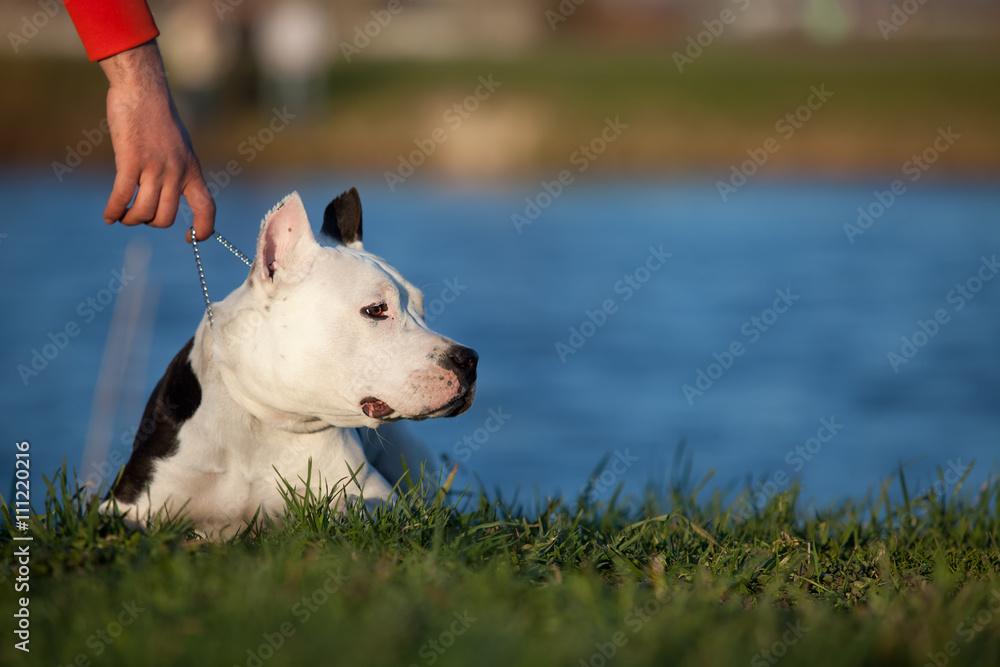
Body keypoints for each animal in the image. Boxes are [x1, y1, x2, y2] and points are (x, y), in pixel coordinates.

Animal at [108, 190, 480, 536]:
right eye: (376, 309)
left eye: (422, 309)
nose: (469, 360)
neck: (264, 422)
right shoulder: (128, 506)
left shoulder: (377, 499)